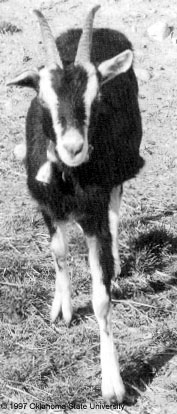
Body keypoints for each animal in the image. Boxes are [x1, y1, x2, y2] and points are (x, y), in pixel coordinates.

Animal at [7, 5, 145, 402]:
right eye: (42, 97)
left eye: (96, 97)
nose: (73, 147)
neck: (69, 177)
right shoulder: (46, 206)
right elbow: (58, 253)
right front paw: (62, 309)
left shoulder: (94, 214)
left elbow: (100, 296)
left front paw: (113, 384)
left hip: (118, 175)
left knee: (115, 211)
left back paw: (116, 264)